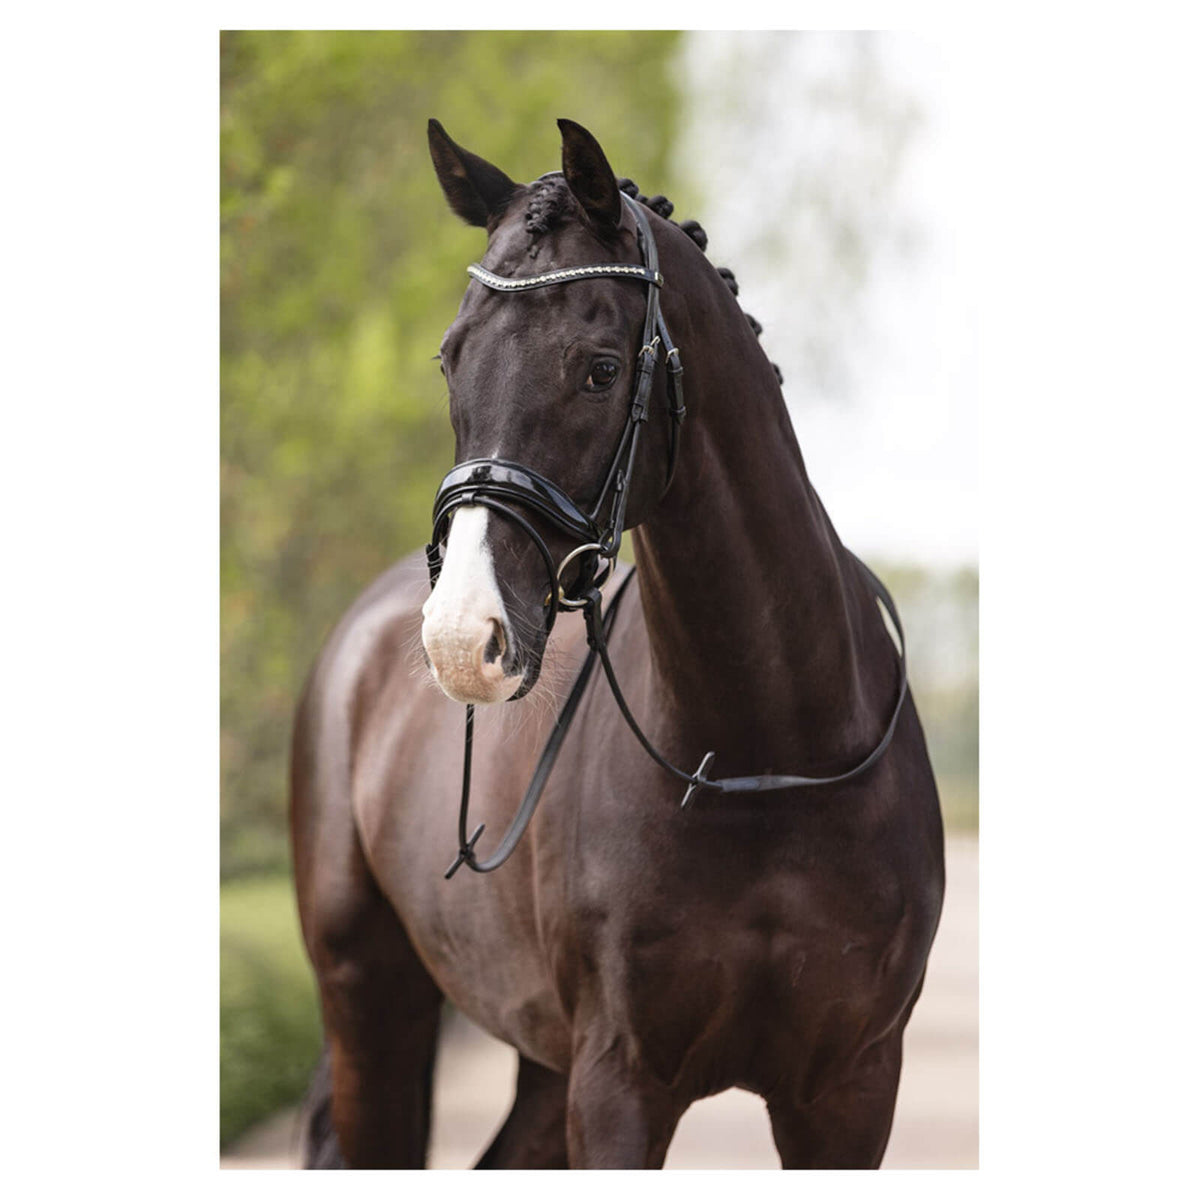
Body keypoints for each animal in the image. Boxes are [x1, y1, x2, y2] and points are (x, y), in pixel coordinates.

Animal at [289, 117, 945, 1169]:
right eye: (450, 358)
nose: (461, 637)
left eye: (599, 367)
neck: (764, 756)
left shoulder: (849, 1090)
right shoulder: (618, 1083)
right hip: (369, 998)